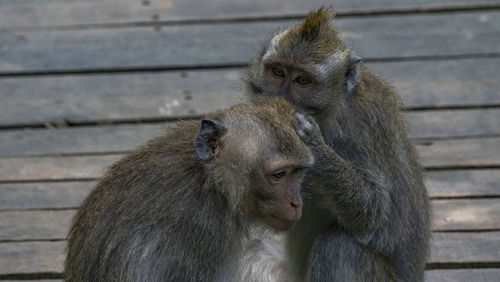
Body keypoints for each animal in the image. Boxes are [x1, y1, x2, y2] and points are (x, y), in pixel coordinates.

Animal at [244, 8, 432, 282]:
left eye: (302, 80)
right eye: (278, 73)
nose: (277, 101)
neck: (330, 113)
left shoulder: (360, 128)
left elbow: (374, 212)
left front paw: (313, 147)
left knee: (340, 246)